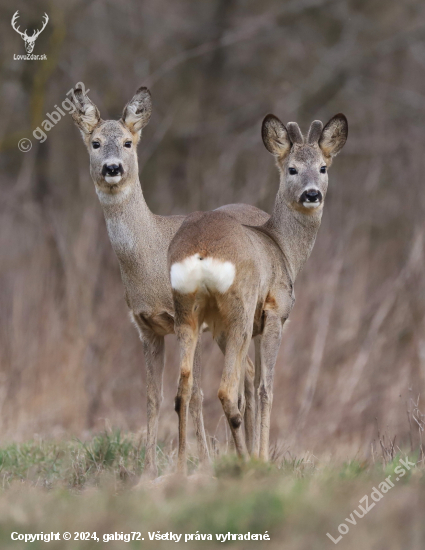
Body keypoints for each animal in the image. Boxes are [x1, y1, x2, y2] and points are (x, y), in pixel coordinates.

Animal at [70, 85, 268, 478]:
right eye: (95, 143)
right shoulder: (146, 327)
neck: (150, 260)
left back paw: (253, 454)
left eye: (128, 142)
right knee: (248, 374)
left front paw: (201, 462)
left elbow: (195, 394)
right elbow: (152, 396)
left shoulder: (186, 321)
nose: (112, 168)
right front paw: (148, 469)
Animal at [167, 113, 346, 474]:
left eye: (322, 167)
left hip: (187, 312)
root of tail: (200, 251)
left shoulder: (256, 326)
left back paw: (180, 468)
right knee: (225, 390)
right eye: (292, 169)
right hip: (239, 309)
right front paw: (263, 457)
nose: (312, 194)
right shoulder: (274, 313)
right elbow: (266, 387)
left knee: (185, 388)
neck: (283, 248)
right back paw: (244, 461)